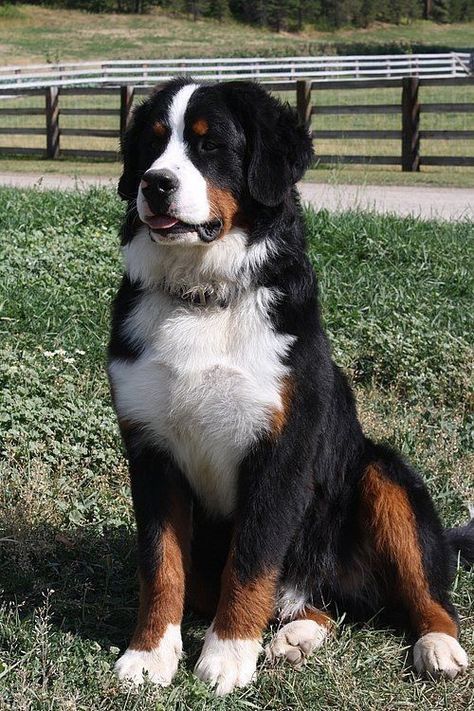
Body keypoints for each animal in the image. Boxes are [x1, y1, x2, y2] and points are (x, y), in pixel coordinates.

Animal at [109, 78, 472, 696]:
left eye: (209, 146)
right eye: (152, 145)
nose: (155, 184)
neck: (204, 296)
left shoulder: (280, 453)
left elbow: (252, 561)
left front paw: (226, 658)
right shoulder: (152, 452)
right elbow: (161, 566)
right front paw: (149, 656)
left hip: (381, 472)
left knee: (422, 592)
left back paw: (438, 645)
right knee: (318, 605)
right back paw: (293, 637)